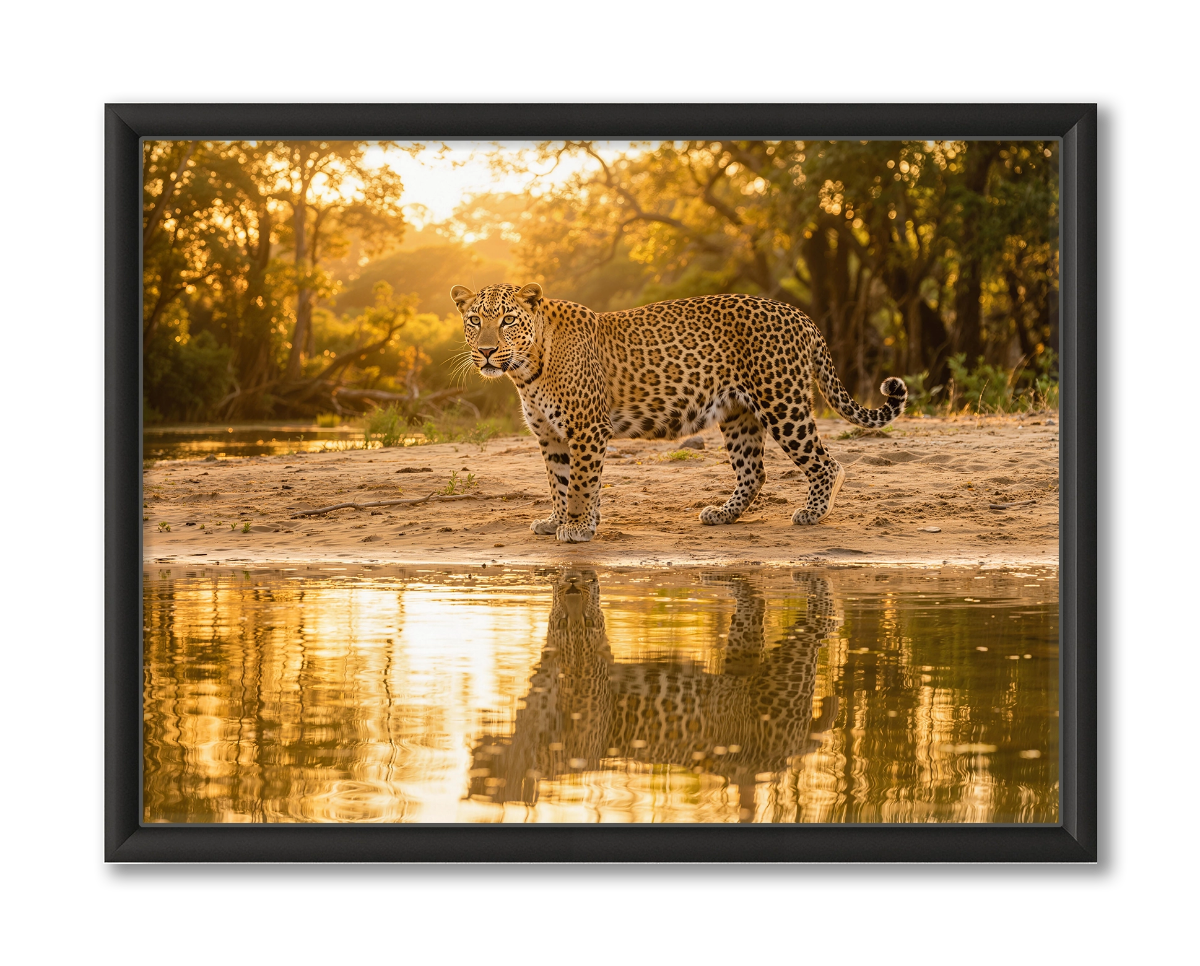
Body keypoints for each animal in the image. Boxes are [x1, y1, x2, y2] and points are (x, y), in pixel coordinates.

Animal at [451, 282, 907, 543]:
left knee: (826, 463)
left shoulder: (587, 429)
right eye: (474, 320)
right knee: (754, 471)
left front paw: (578, 527)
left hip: (782, 402)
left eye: (508, 320)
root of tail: (800, 316)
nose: (487, 351)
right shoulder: (551, 436)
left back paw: (812, 512)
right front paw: (558, 520)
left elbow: (581, 483)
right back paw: (723, 514)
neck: (526, 369)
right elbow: (559, 483)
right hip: (738, 413)